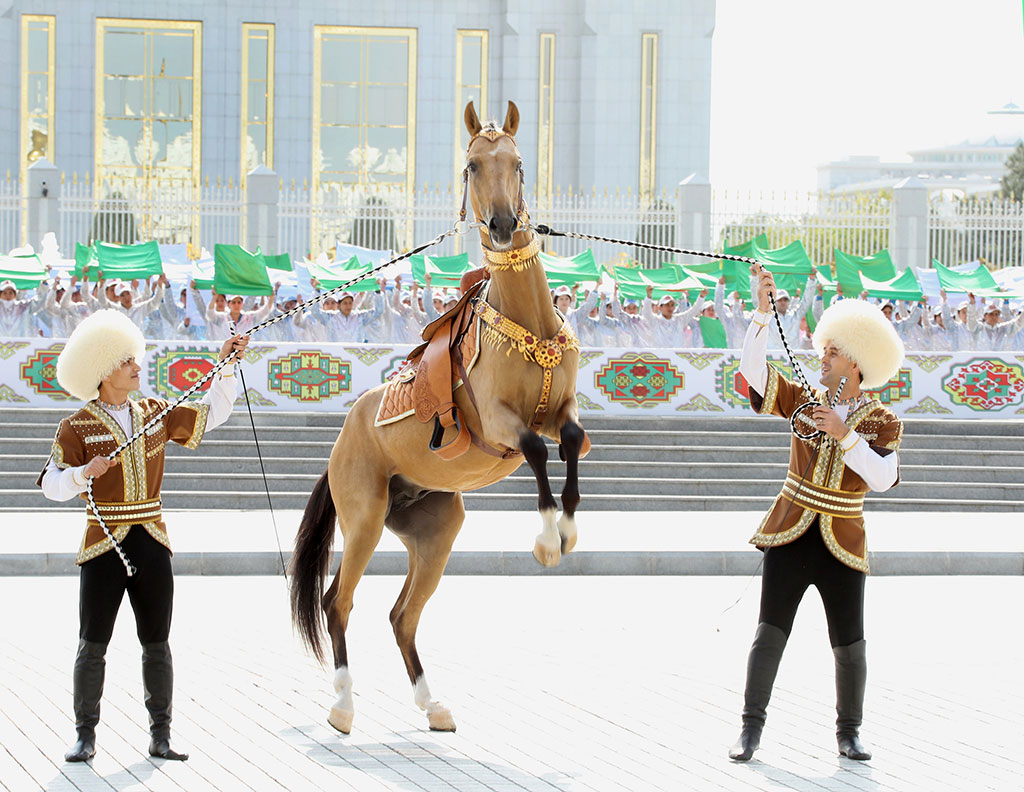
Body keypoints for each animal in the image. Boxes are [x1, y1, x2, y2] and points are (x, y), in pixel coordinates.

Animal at [292, 101, 589, 733]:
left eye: (518, 163)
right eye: (472, 165)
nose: (502, 224)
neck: (526, 318)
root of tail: (342, 441)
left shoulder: (562, 410)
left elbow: (571, 438)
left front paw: (568, 528)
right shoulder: (496, 424)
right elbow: (533, 449)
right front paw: (547, 539)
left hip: (435, 529)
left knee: (402, 616)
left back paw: (433, 704)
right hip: (364, 516)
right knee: (338, 602)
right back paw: (343, 705)